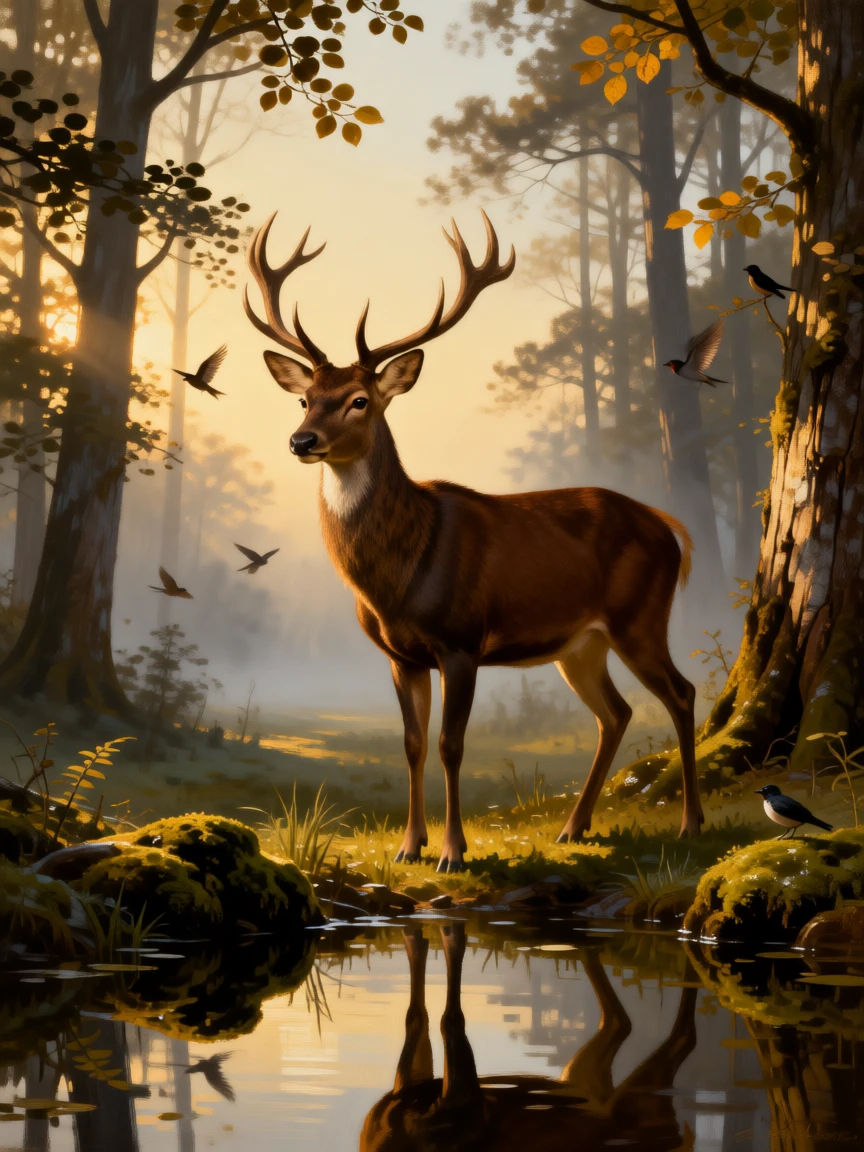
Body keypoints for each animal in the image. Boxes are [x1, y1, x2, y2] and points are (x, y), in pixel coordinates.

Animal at [244, 210, 704, 873]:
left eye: (360, 401)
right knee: (615, 713)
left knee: (682, 693)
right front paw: (410, 846)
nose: (301, 440)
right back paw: (573, 827)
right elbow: (412, 743)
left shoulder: (461, 640)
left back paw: (691, 823)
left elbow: (451, 743)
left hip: (640, 616)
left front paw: (453, 852)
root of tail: (670, 527)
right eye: (304, 398)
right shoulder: (401, 655)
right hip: (580, 643)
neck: (398, 576)